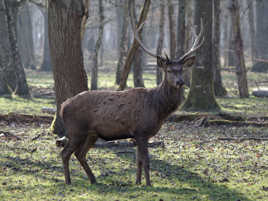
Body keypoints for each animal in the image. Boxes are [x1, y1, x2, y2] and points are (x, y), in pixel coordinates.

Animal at [56, 3, 203, 186]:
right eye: (169, 70)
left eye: (181, 69)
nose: (180, 82)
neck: (158, 108)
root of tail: (63, 106)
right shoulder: (141, 131)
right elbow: (146, 160)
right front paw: (149, 184)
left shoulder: (139, 135)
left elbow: (138, 160)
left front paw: (138, 182)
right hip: (76, 129)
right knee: (65, 153)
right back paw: (69, 181)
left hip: (91, 133)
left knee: (80, 154)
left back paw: (93, 179)